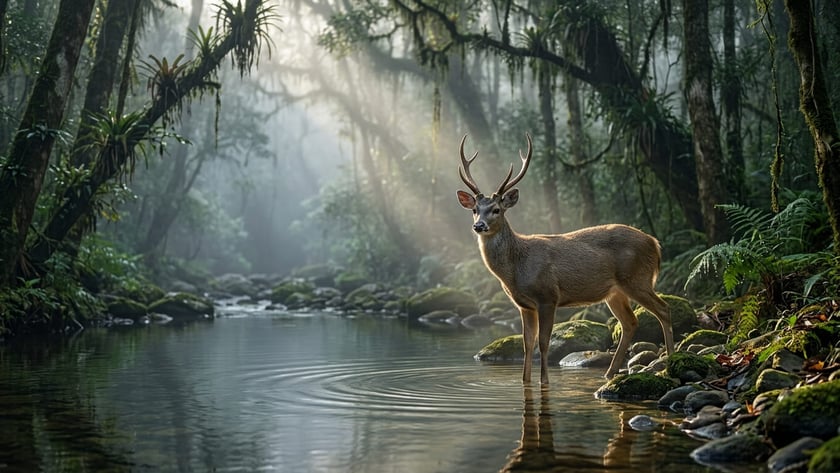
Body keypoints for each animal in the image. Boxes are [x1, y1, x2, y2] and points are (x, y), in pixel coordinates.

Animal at [455, 133, 674, 384]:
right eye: (475, 210)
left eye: (496, 209)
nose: (479, 225)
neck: (516, 268)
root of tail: (655, 244)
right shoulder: (524, 305)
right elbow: (527, 345)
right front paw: (525, 381)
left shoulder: (548, 296)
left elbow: (543, 342)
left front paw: (545, 381)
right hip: (615, 291)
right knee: (630, 322)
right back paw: (609, 373)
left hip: (637, 278)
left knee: (664, 309)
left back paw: (670, 360)